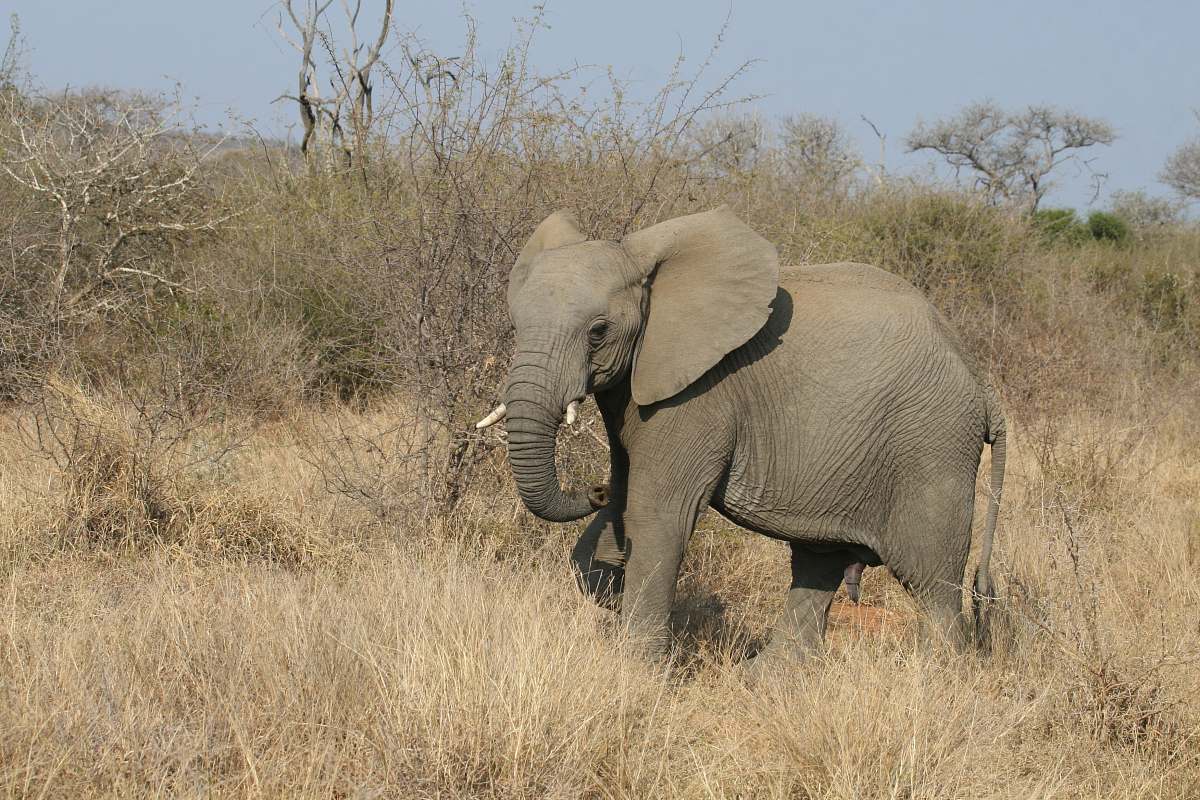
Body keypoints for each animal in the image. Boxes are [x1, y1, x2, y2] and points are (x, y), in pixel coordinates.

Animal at [475, 205, 1003, 662]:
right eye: (517, 324)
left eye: (598, 331)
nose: (593, 489)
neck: (646, 269)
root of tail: (983, 385)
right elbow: (620, 514)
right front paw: (609, 582)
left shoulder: (700, 395)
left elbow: (656, 515)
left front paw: (635, 670)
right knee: (818, 564)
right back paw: (766, 682)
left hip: (932, 446)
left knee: (933, 583)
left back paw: (936, 678)